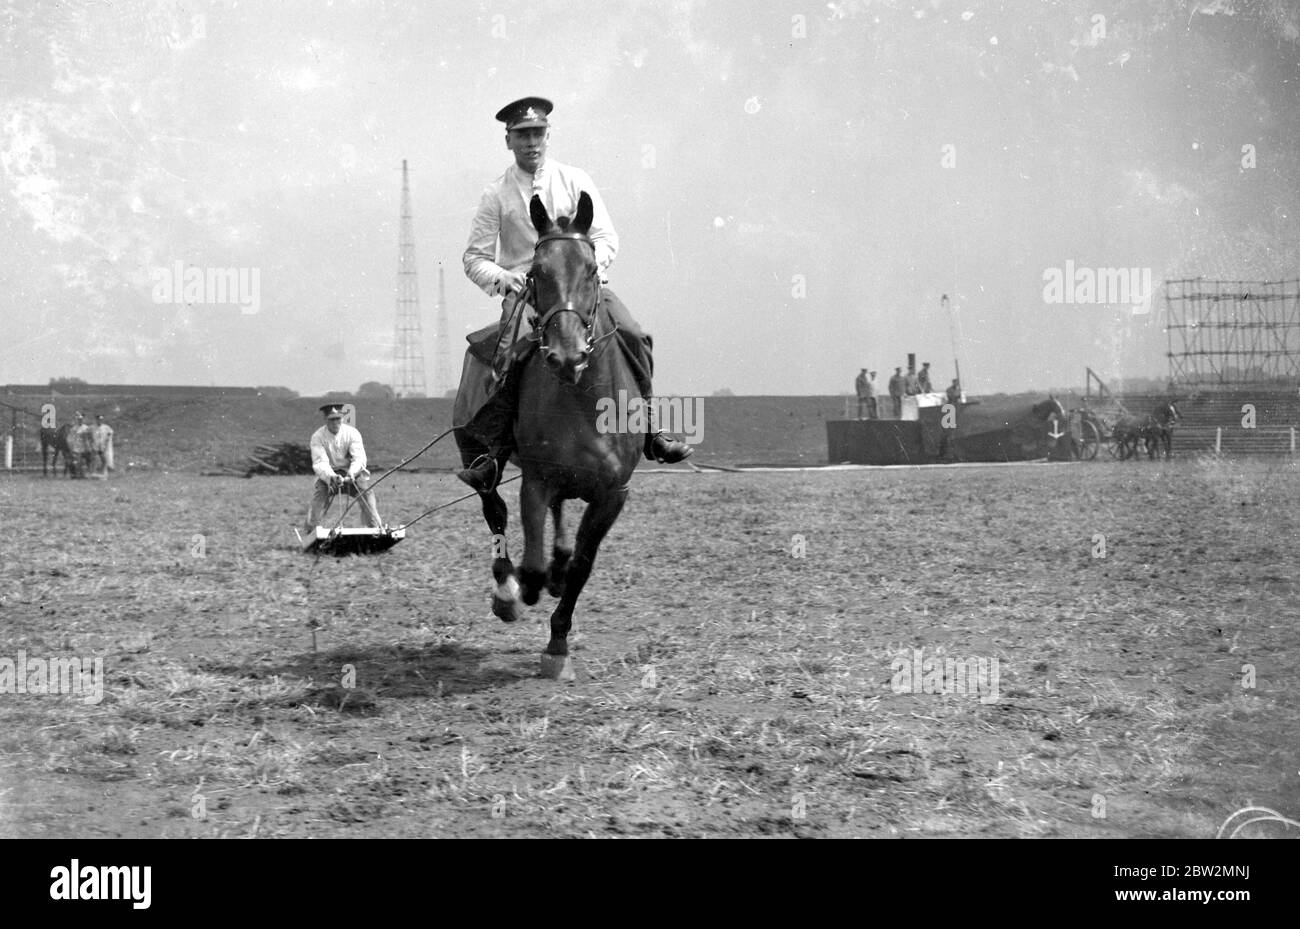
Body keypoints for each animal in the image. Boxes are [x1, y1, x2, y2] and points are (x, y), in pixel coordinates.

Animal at [454, 192, 642, 680]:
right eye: (536, 272)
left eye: (592, 270)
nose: (566, 355)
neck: (582, 401)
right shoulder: (536, 481)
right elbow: (532, 564)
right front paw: (526, 590)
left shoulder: (613, 494)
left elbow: (581, 566)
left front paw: (558, 643)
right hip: (481, 459)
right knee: (494, 509)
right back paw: (508, 592)